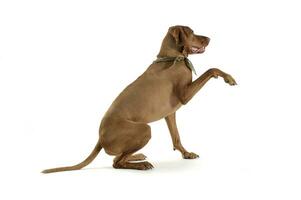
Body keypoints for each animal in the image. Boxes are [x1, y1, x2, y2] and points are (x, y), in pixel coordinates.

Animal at [42, 25, 236, 173]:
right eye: (191, 32)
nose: (209, 38)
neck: (172, 57)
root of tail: (100, 138)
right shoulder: (185, 95)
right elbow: (211, 69)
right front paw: (228, 77)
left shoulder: (170, 113)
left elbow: (176, 137)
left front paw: (186, 154)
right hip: (144, 129)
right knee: (117, 162)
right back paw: (141, 164)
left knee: (119, 156)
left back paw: (138, 156)